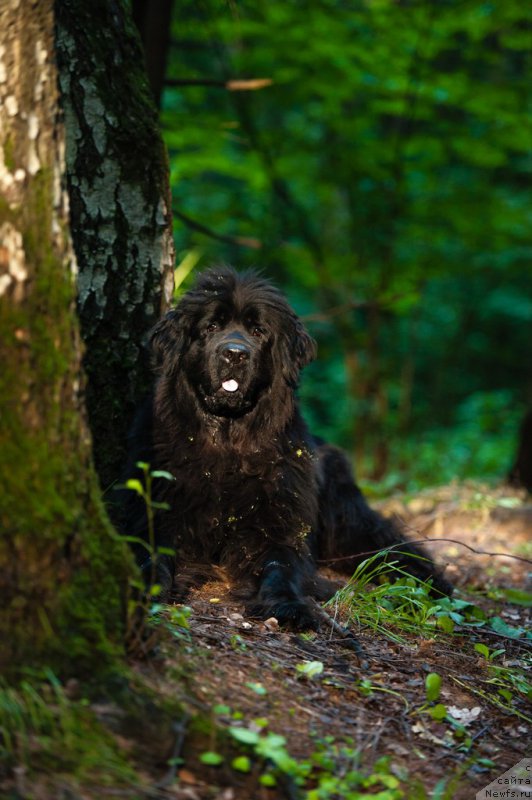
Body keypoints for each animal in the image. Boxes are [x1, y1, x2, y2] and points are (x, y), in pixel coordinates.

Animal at [121, 266, 454, 628]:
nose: (235, 353)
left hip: (344, 519)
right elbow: (149, 555)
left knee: (386, 542)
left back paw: (429, 582)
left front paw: (290, 605)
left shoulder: (280, 523)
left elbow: (281, 565)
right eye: (211, 327)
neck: (227, 443)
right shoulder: (156, 514)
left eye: (258, 331)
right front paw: (142, 588)